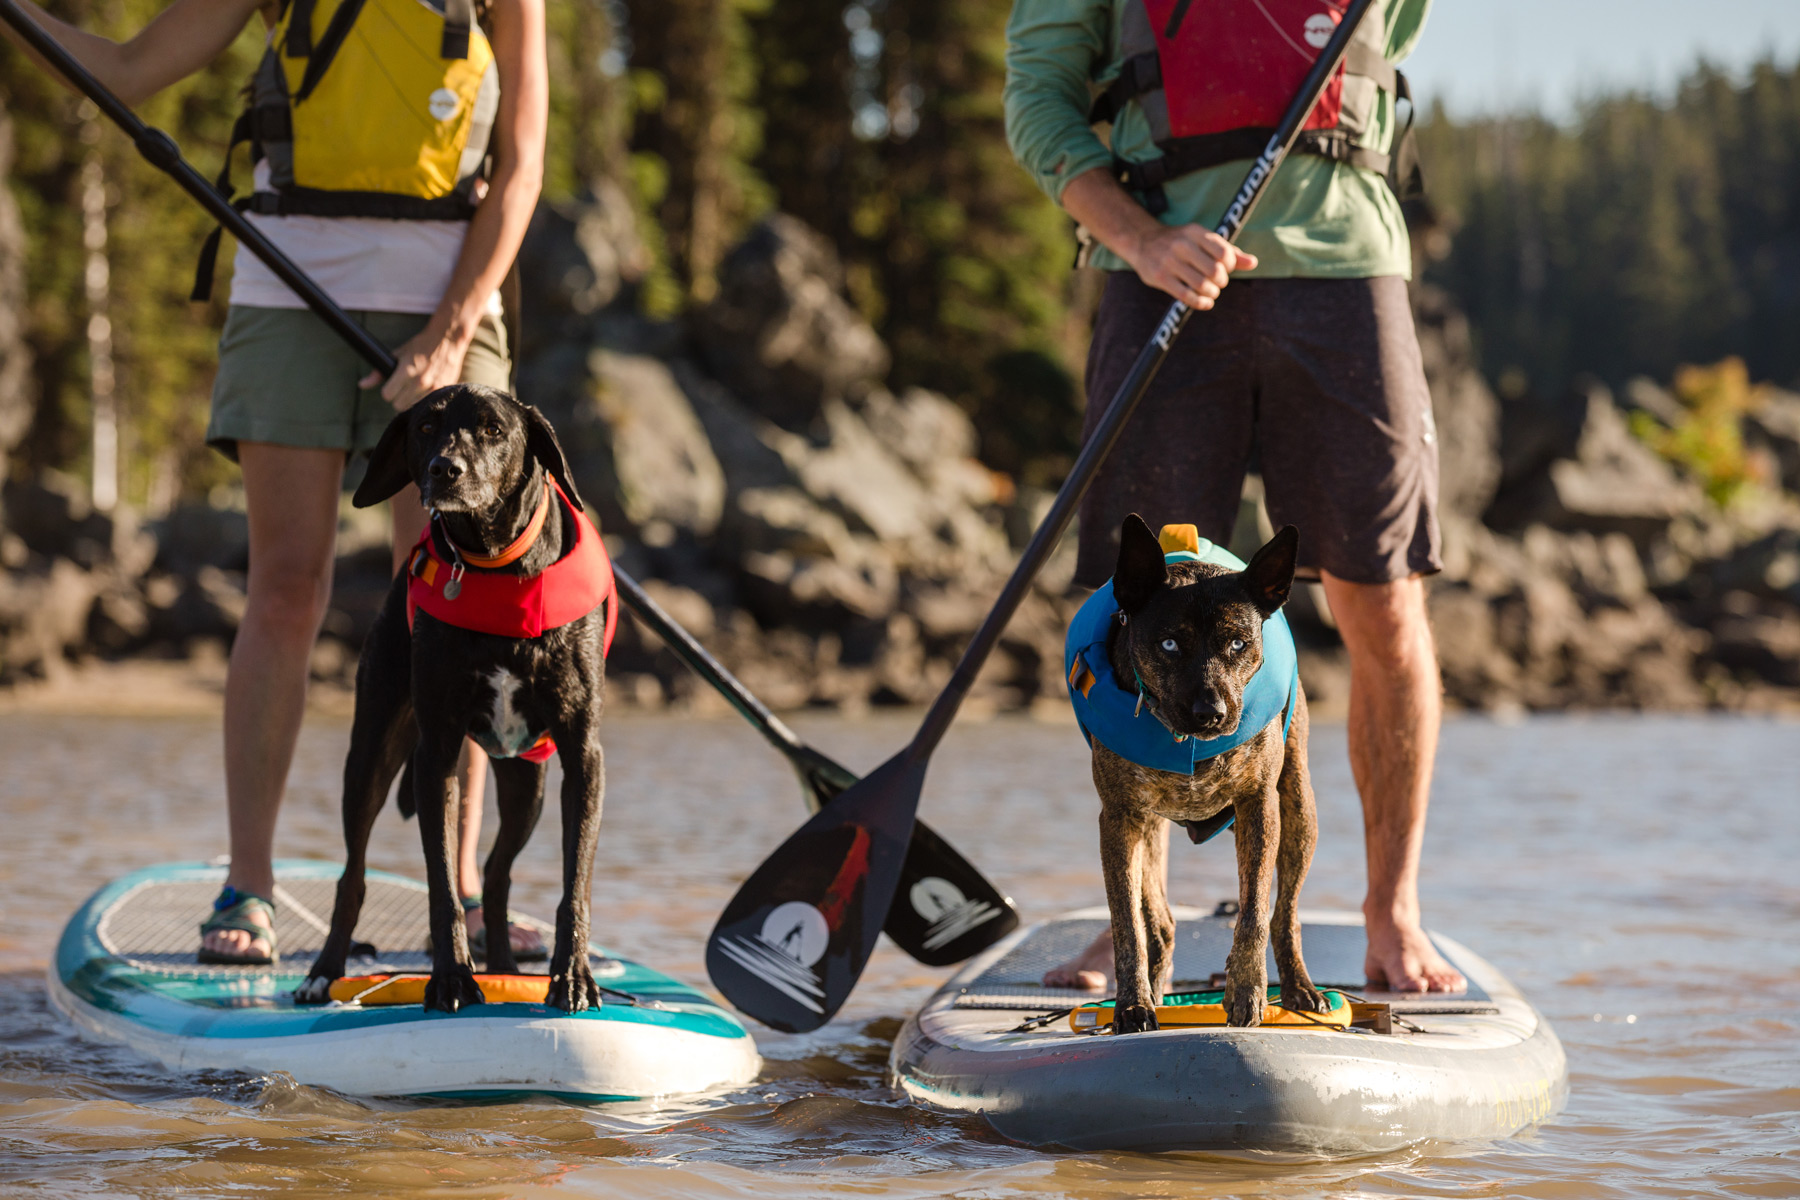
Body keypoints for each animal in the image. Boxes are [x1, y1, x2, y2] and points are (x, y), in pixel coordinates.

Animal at [1087, 518, 1332, 1036]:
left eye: (1238, 643)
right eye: (1169, 643)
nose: (1211, 713)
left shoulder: (1259, 806)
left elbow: (1255, 909)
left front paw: (1246, 990)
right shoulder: (1119, 819)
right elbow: (1126, 924)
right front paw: (1132, 1006)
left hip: (1300, 810)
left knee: (1286, 914)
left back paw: (1300, 988)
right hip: (1149, 829)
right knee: (1158, 923)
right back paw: (1156, 987)